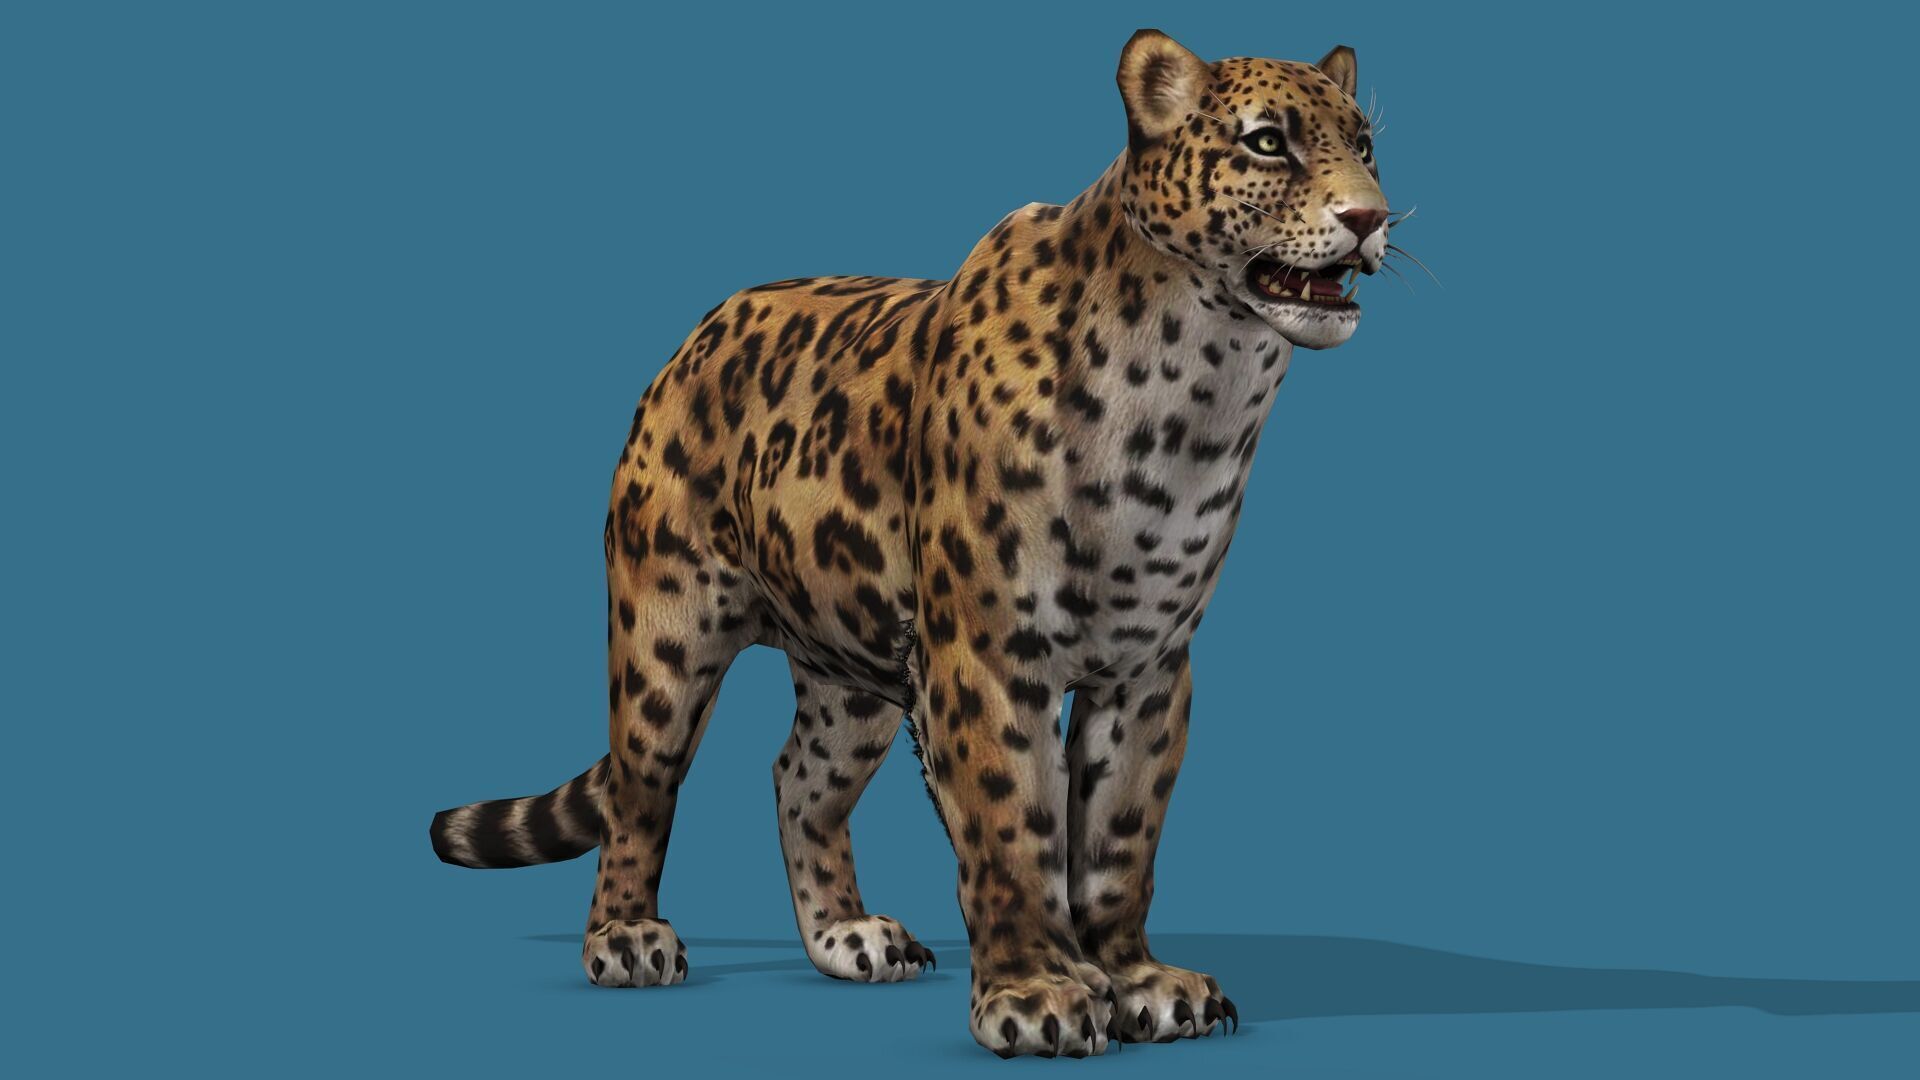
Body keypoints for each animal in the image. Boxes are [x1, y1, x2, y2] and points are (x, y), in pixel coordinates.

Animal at [429, 29, 1396, 1058]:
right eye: (1268, 144)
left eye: (1365, 147)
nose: (1370, 217)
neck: (1196, 393)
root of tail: (696, 335)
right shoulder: (984, 655)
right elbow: (1013, 823)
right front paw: (1038, 991)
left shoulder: (1149, 667)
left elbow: (1118, 837)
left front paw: (1135, 979)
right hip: (665, 631)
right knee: (640, 788)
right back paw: (625, 937)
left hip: (851, 669)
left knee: (798, 780)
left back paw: (849, 936)